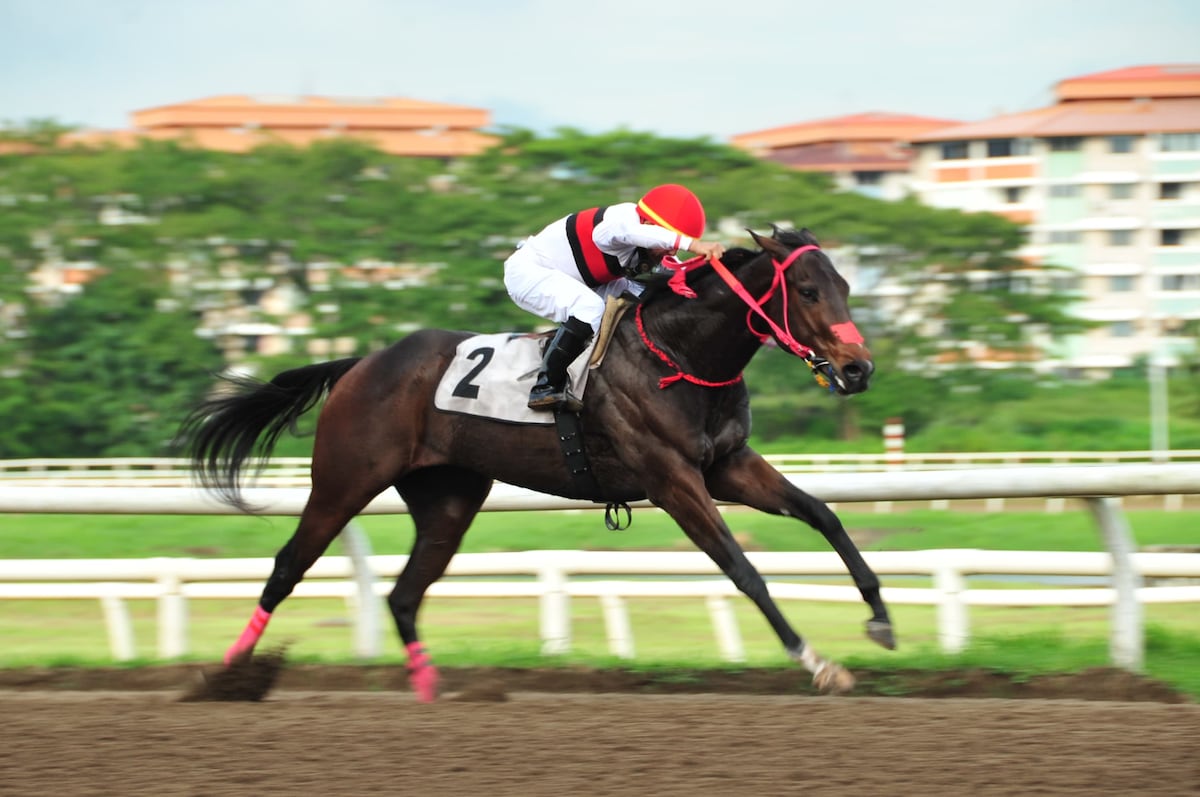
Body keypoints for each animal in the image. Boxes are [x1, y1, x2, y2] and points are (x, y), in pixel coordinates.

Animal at [177, 226, 892, 700]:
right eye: (808, 290)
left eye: (846, 285)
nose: (859, 369)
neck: (677, 354)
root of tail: (362, 363)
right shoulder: (672, 479)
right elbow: (744, 569)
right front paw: (817, 661)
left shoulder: (728, 466)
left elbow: (824, 516)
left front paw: (880, 619)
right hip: (344, 481)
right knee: (288, 567)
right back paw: (225, 674)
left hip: (449, 499)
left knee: (404, 593)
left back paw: (430, 688)